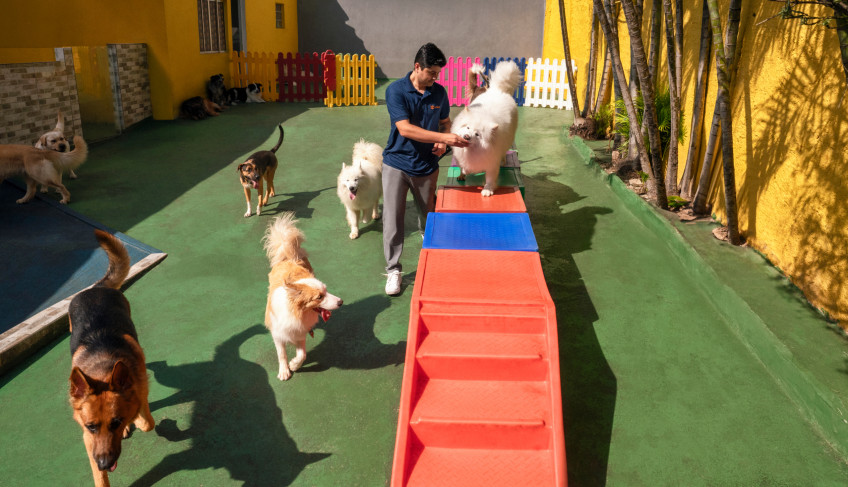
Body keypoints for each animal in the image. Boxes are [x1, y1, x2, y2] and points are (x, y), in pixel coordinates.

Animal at [67, 230, 155, 487]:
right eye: (91, 426)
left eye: (115, 422)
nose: (105, 463)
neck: (102, 367)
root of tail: (95, 288)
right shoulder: (88, 440)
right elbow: (99, 478)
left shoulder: (141, 394)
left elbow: (147, 422)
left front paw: (135, 422)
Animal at [264, 214, 344, 382]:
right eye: (319, 297)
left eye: (326, 290)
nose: (341, 302)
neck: (297, 313)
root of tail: (289, 257)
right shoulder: (278, 334)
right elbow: (281, 354)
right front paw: (284, 371)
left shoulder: (300, 333)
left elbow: (302, 354)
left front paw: (294, 365)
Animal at [450, 61, 524, 196]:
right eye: (467, 127)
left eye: (477, 134)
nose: (466, 136)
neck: (472, 151)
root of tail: (497, 89)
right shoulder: (460, 155)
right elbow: (462, 166)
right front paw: (463, 173)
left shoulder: (491, 161)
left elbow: (490, 178)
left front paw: (487, 190)